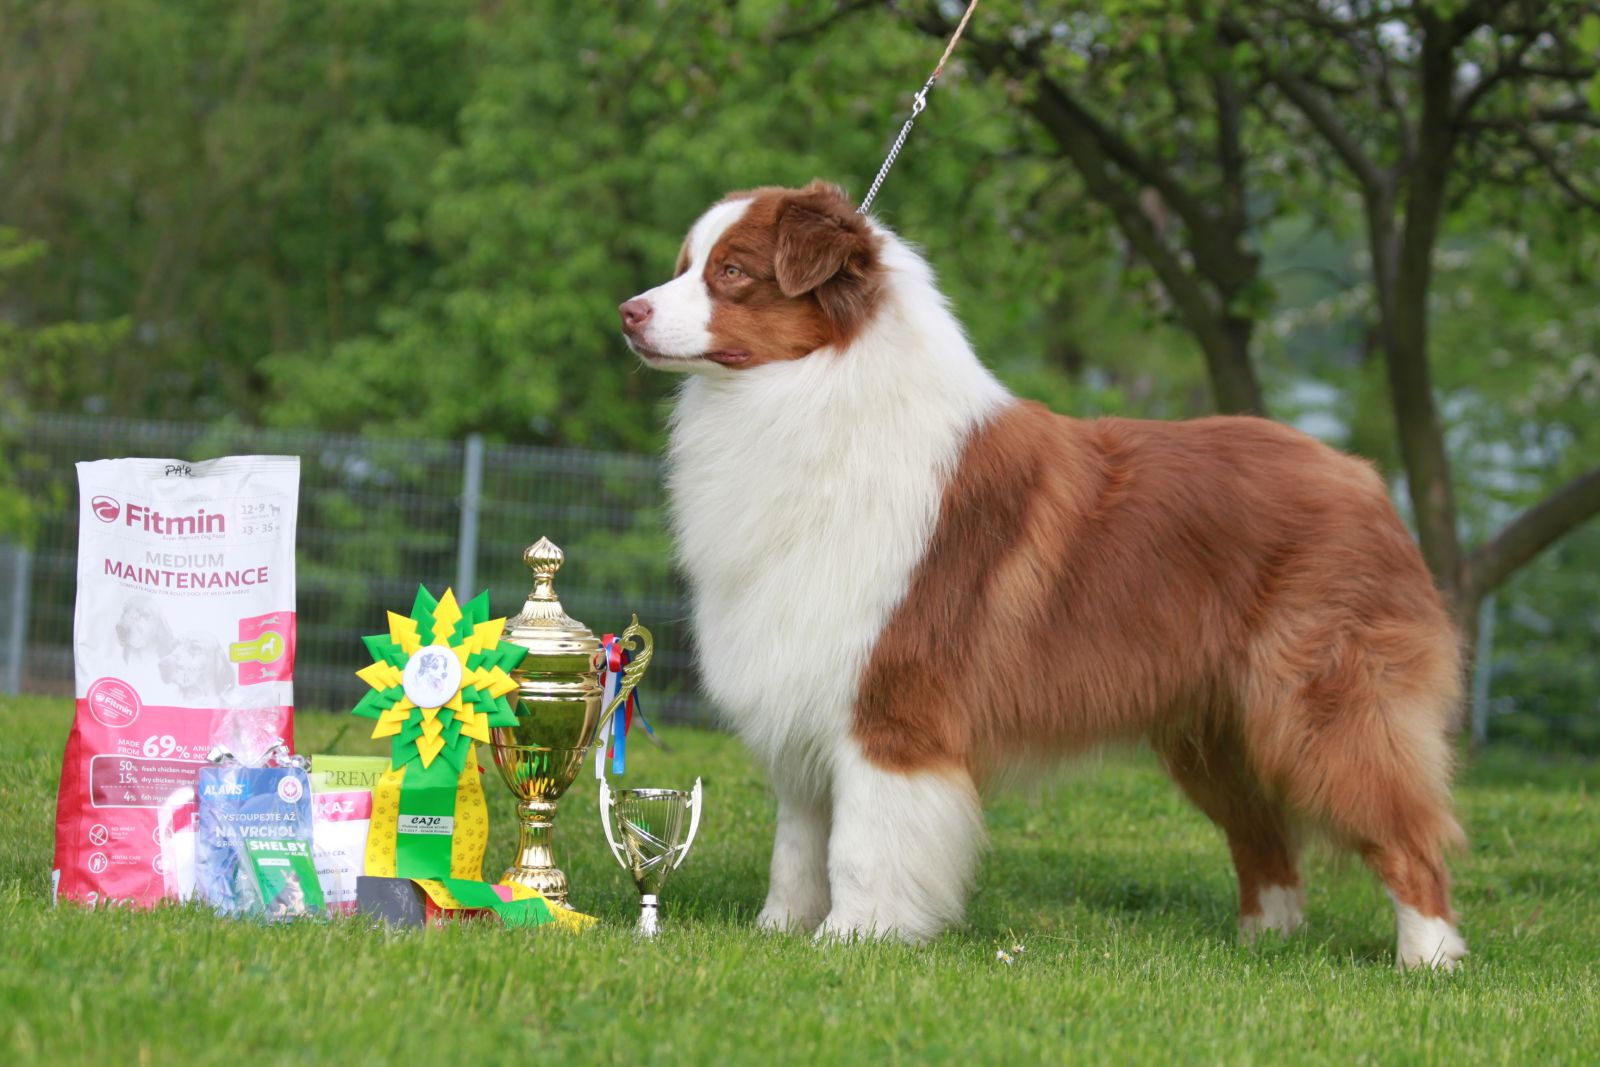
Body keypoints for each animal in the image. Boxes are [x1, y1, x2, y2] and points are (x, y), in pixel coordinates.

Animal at [617, 181, 1465, 966]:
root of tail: (1365, 479)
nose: (628, 312)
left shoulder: (892, 704)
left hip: (1322, 711)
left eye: (732, 271)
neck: (809, 393)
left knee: (1407, 829)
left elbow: (861, 842)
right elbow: (797, 844)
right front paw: (777, 933)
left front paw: (856, 937)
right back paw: (1264, 947)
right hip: (1214, 730)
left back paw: (1428, 960)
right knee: (1266, 840)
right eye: (685, 264)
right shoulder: (804, 687)